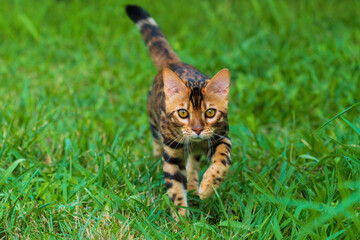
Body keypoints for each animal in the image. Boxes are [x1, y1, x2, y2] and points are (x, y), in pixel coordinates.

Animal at [125, 4, 232, 218]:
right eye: (183, 113)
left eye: (210, 113)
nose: (198, 130)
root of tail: (174, 63)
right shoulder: (172, 154)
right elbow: (174, 187)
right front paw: (181, 219)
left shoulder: (221, 138)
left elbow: (222, 161)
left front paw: (207, 187)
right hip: (154, 124)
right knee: (157, 144)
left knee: (193, 164)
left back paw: (194, 186)